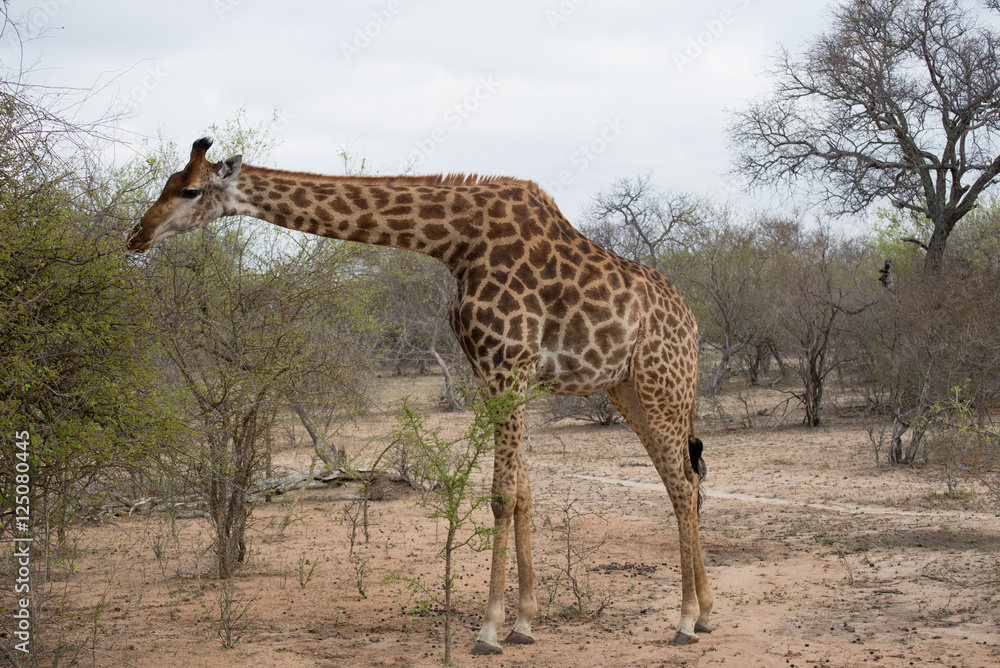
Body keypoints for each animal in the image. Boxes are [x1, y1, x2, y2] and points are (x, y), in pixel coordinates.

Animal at [129, 137, 713, 652]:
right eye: (168, 184)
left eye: (189, 191)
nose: (137, 235)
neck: (457, 243)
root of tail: (691, 322)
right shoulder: (495, 372)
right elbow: (523, 493)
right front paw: (524, 623)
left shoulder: (508, 364)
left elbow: (502, 494)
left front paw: (488, 631)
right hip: (627, 389)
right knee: (681, 478)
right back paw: (705, 612)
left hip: (662, 384)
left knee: (684, 483)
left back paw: (686, 619)